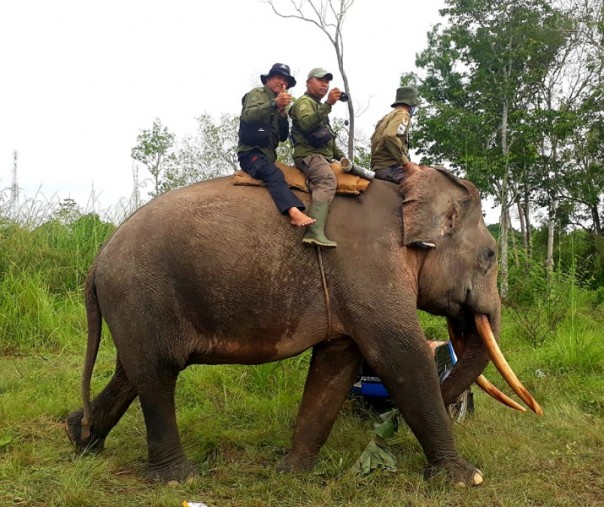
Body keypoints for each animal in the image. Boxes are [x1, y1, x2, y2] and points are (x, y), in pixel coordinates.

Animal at [66, 165, 544, 486]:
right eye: (490, 256)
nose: (385, 427)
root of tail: (97, 259)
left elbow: (335, 365)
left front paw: (292, 472)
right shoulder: (370, 268)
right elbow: (400, 355)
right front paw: (466, 479)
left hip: (134, 307)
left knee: (134, 371)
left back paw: (80, 438)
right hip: (141, 294)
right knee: (158, 374)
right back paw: (178, 479)